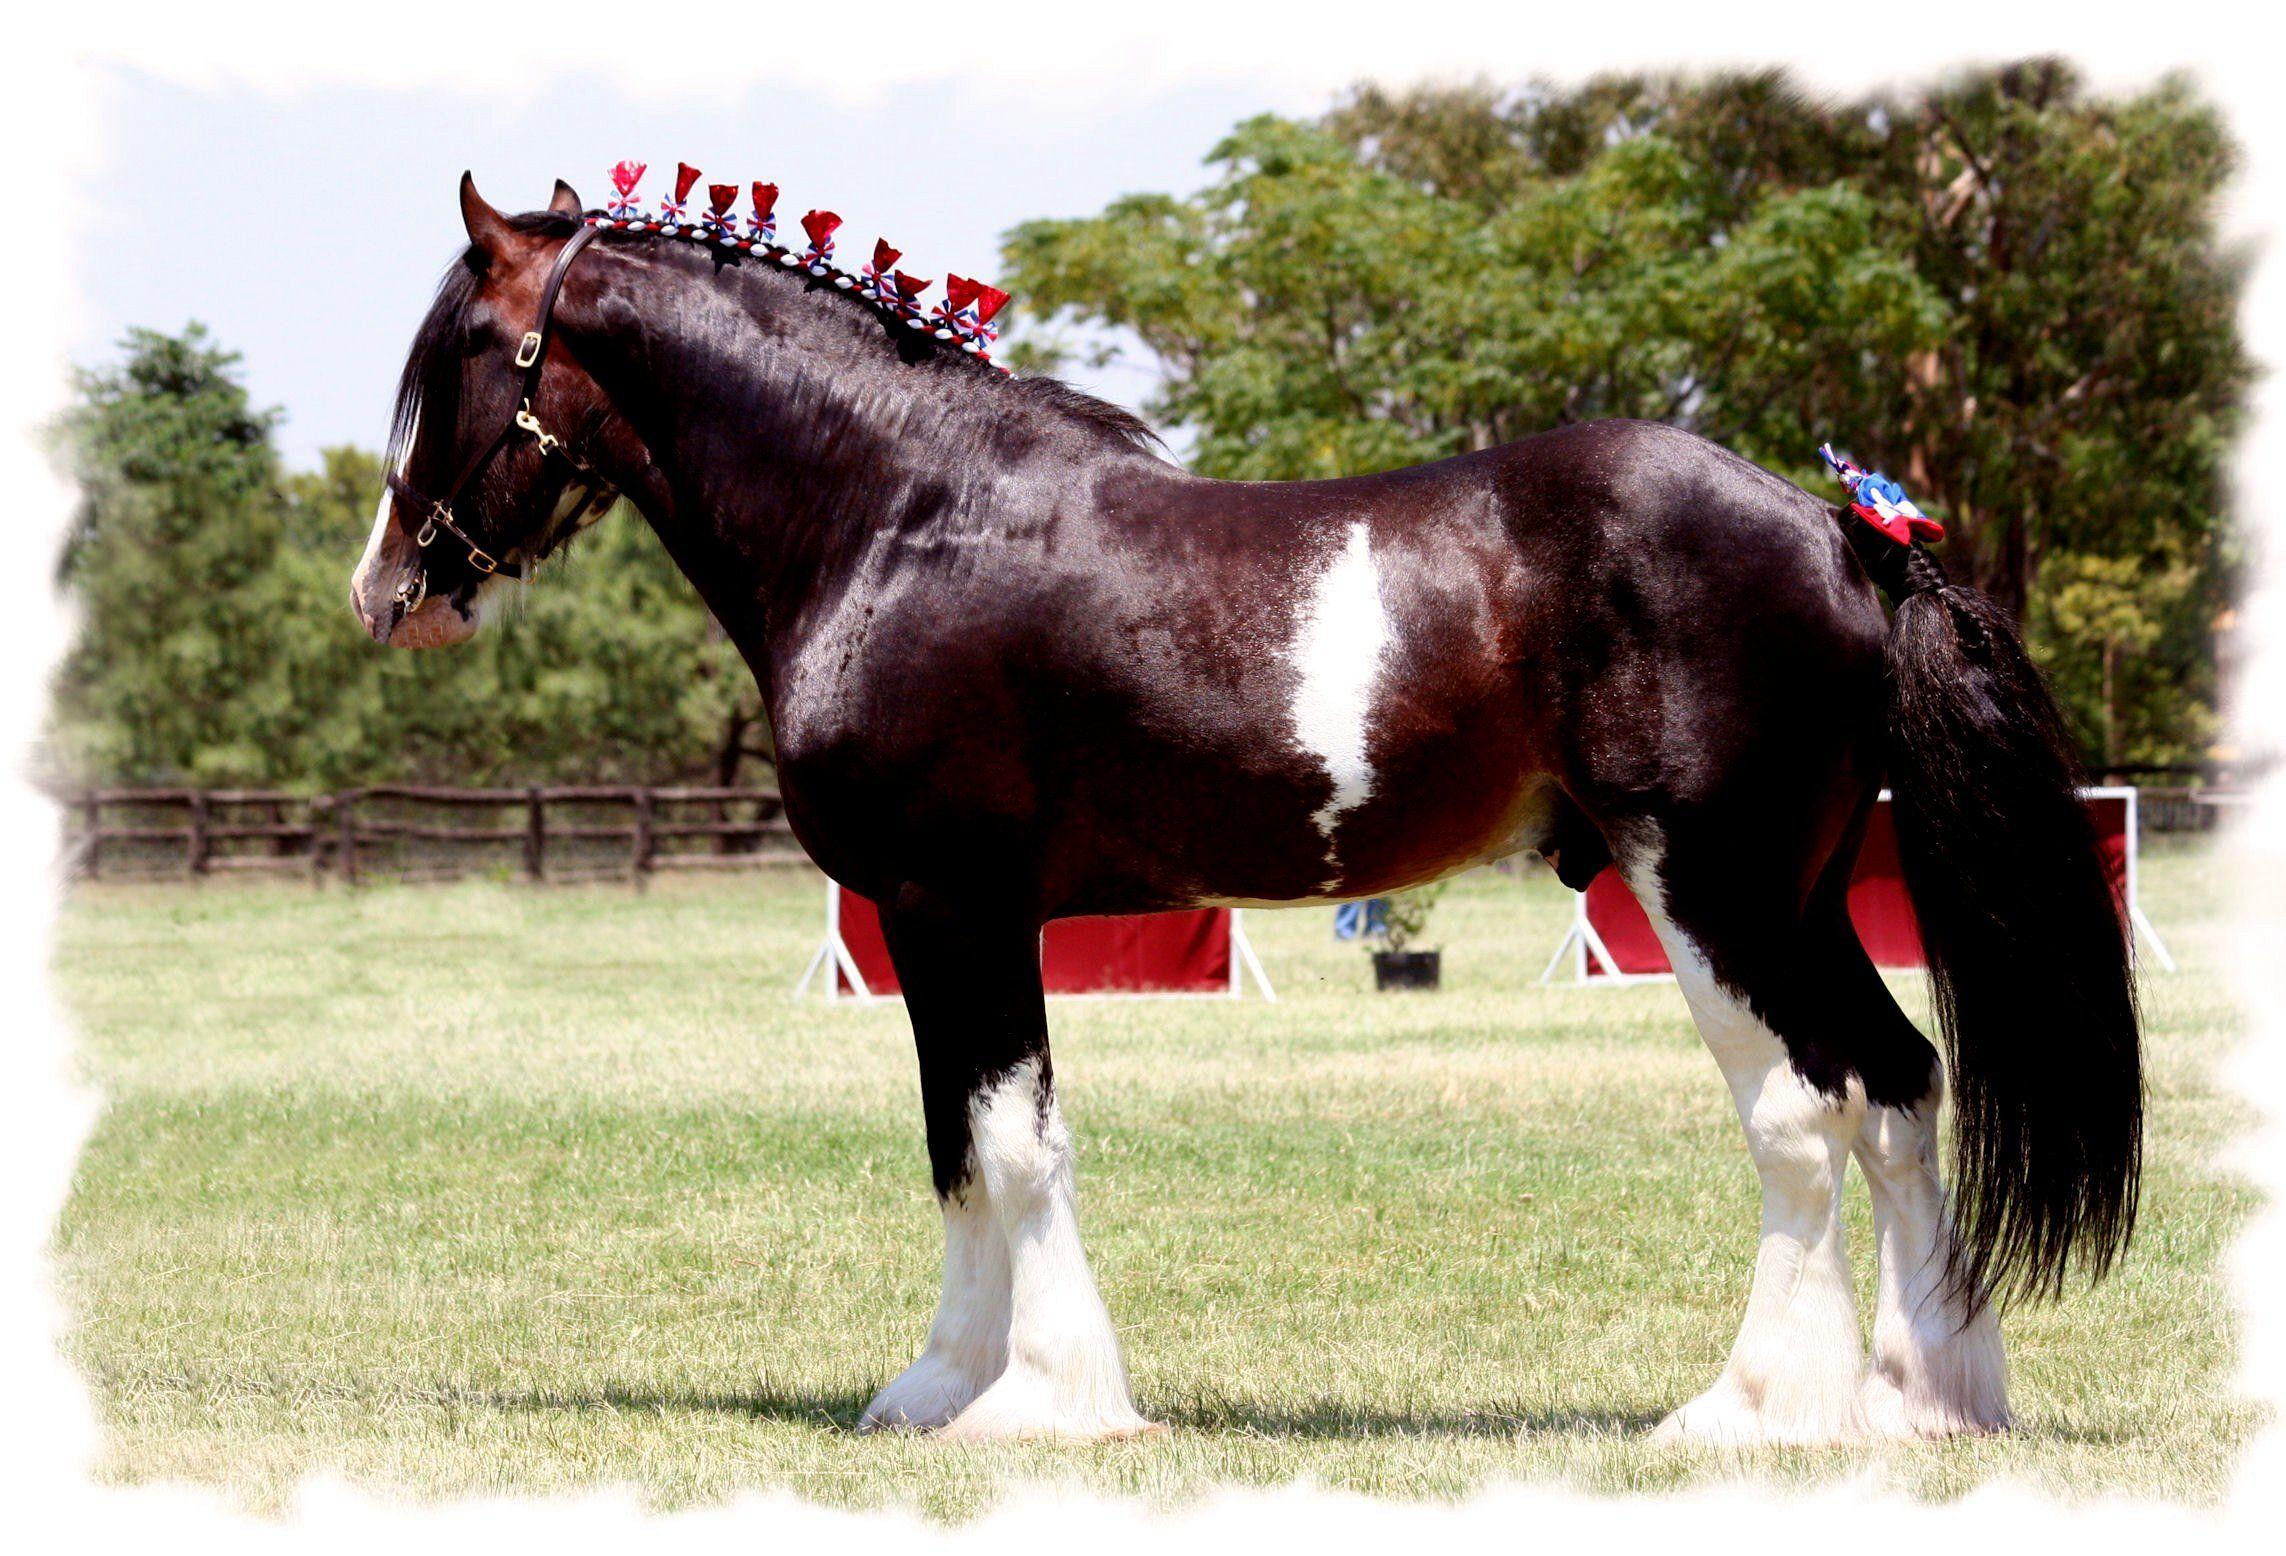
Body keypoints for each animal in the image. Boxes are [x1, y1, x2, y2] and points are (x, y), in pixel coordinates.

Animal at [350, 173, 2143, 1445]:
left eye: (459, 362)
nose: (385, 590)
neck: (899, 517)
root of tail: (1846, 531)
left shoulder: (951, 904)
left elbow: (1003, 1144)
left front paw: (1041, 1402)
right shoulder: (938, 926)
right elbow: (955, 1148)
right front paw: (940, 1387)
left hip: (1710, 893)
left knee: (1804, 1112)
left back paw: (1750, 1411)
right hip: (1807, 895)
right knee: (1903, 1087)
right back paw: (1924, 1395)